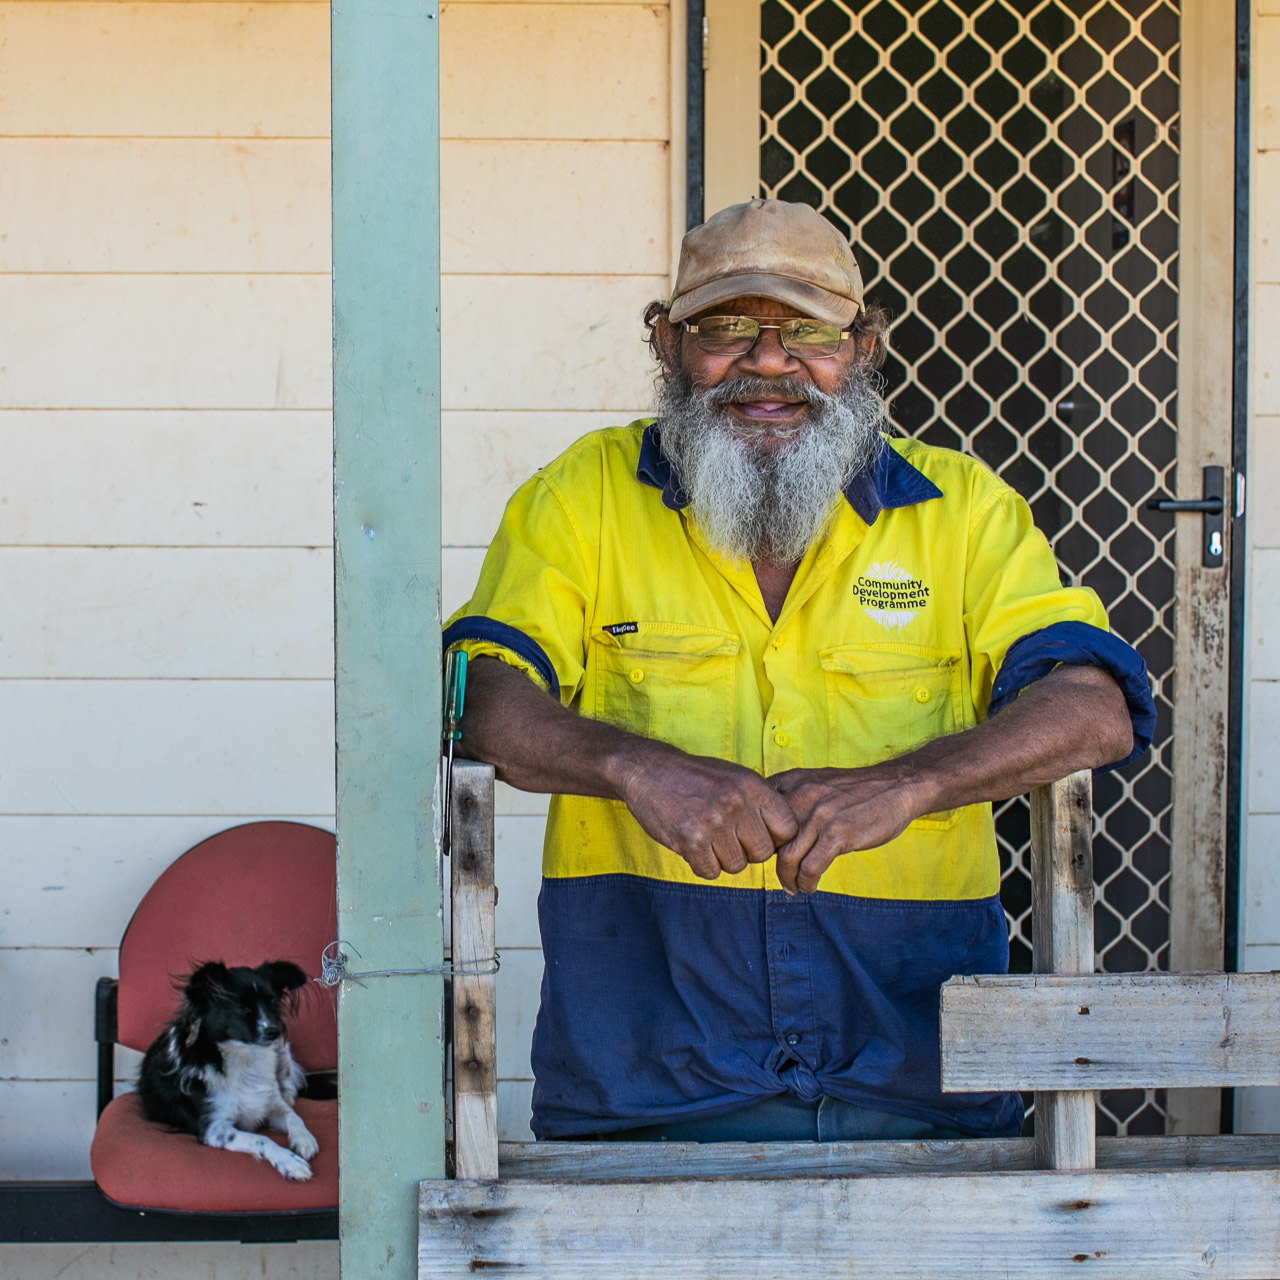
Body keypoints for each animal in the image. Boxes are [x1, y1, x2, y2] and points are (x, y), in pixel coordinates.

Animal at [136, 962, 320, 1177]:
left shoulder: (270, 1104)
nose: (275, 1031)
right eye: (242, 1007)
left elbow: (293, 1116)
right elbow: (262, 1139)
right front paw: (289, 1161)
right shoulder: (214, 1128)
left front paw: (304, 1138)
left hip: (284, 1052)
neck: (244, 1056)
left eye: (272, 1003)